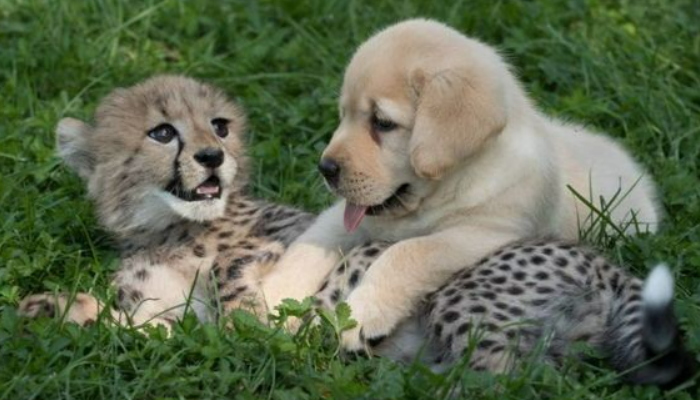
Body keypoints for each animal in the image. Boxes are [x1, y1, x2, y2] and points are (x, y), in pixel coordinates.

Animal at [260, 19, 660, 350]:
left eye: (382, 123)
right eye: (343, 115)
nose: (325, 168)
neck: (444, 189)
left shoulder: (484, 234)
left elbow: (408, 252)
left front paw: (363, 313)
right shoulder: (352, 216)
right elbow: (311, 243)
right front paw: (270, 298)